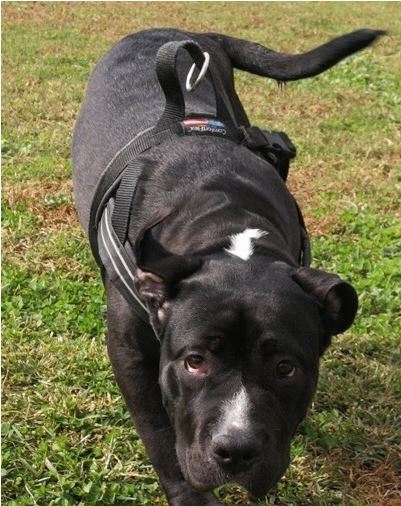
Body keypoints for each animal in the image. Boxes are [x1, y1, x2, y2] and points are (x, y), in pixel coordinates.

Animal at [72, 27, 384, 505]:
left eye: (286, 368)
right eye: (195, 361)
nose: (236, 450)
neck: (228, 228)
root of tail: (180, 33)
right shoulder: (130, 354)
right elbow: (159, 432)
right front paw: (190, 495)